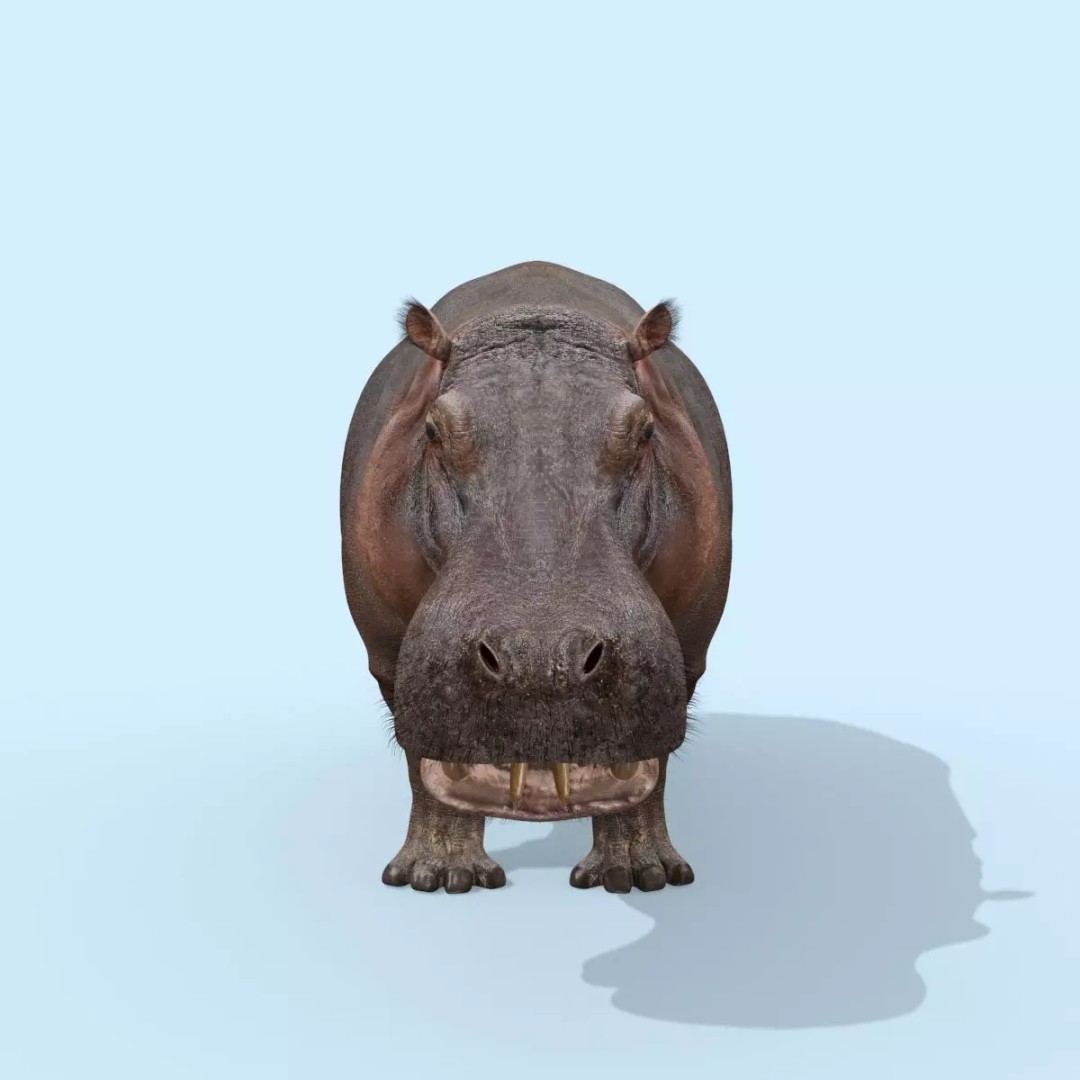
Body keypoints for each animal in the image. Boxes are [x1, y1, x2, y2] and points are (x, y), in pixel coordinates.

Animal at [340, 261, 732, 894]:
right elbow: (424, 757)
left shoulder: (689, 649)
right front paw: (438, 874)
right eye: (433, 431)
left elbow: (649, 758)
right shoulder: (388, 652)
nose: (538, 660)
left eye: (645, 430)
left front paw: (639, 874)